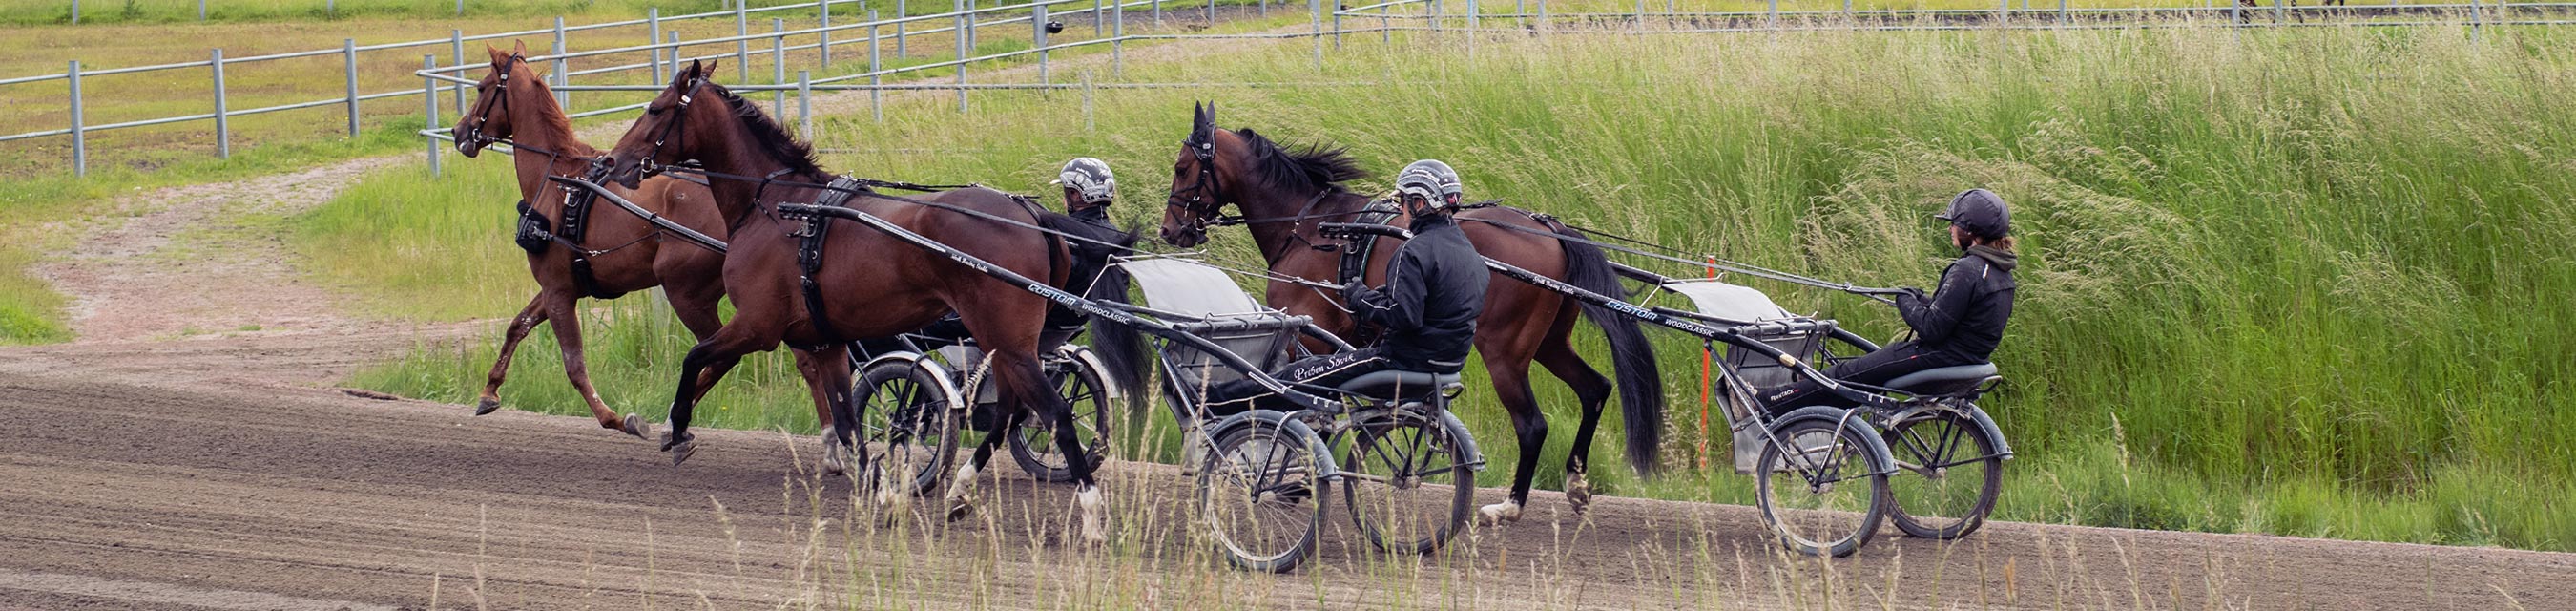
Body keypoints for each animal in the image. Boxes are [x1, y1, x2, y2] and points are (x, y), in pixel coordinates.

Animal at [453, 40, 731, 435]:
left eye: (480, 88)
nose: (458, 132)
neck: (557, 178)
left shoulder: (558, 291)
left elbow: (573, 363)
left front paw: (614, 418)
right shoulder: (560, 286)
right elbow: (518, 325)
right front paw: (489, 391)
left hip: (686, 293)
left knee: (719, 354)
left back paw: (673, 417)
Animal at [602, 60, 1108, 538]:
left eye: (656, 110)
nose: (611, 162)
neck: (780, 206)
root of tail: (1030, 214)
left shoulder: (757, 325)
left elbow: (694, 358)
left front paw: (677, 430)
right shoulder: (826, 341)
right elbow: (846, 423)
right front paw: (881, 492)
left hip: (1003, 337)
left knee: (1055, 415)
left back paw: (1090, 516)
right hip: (1007, 343)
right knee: (1008, 414)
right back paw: (961, 492)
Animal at [1153, 102, 1669, 523]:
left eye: (1181, 168)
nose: (1170, 230)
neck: (1312, 225)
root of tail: (1550, 229)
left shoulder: (1314, 335)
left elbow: (1303, 406)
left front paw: (1287, 475)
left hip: (1505, 352)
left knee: (1532, 425)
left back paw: (1510, 505)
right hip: (1549, 343)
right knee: (1596, 389)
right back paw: (1577, 485)